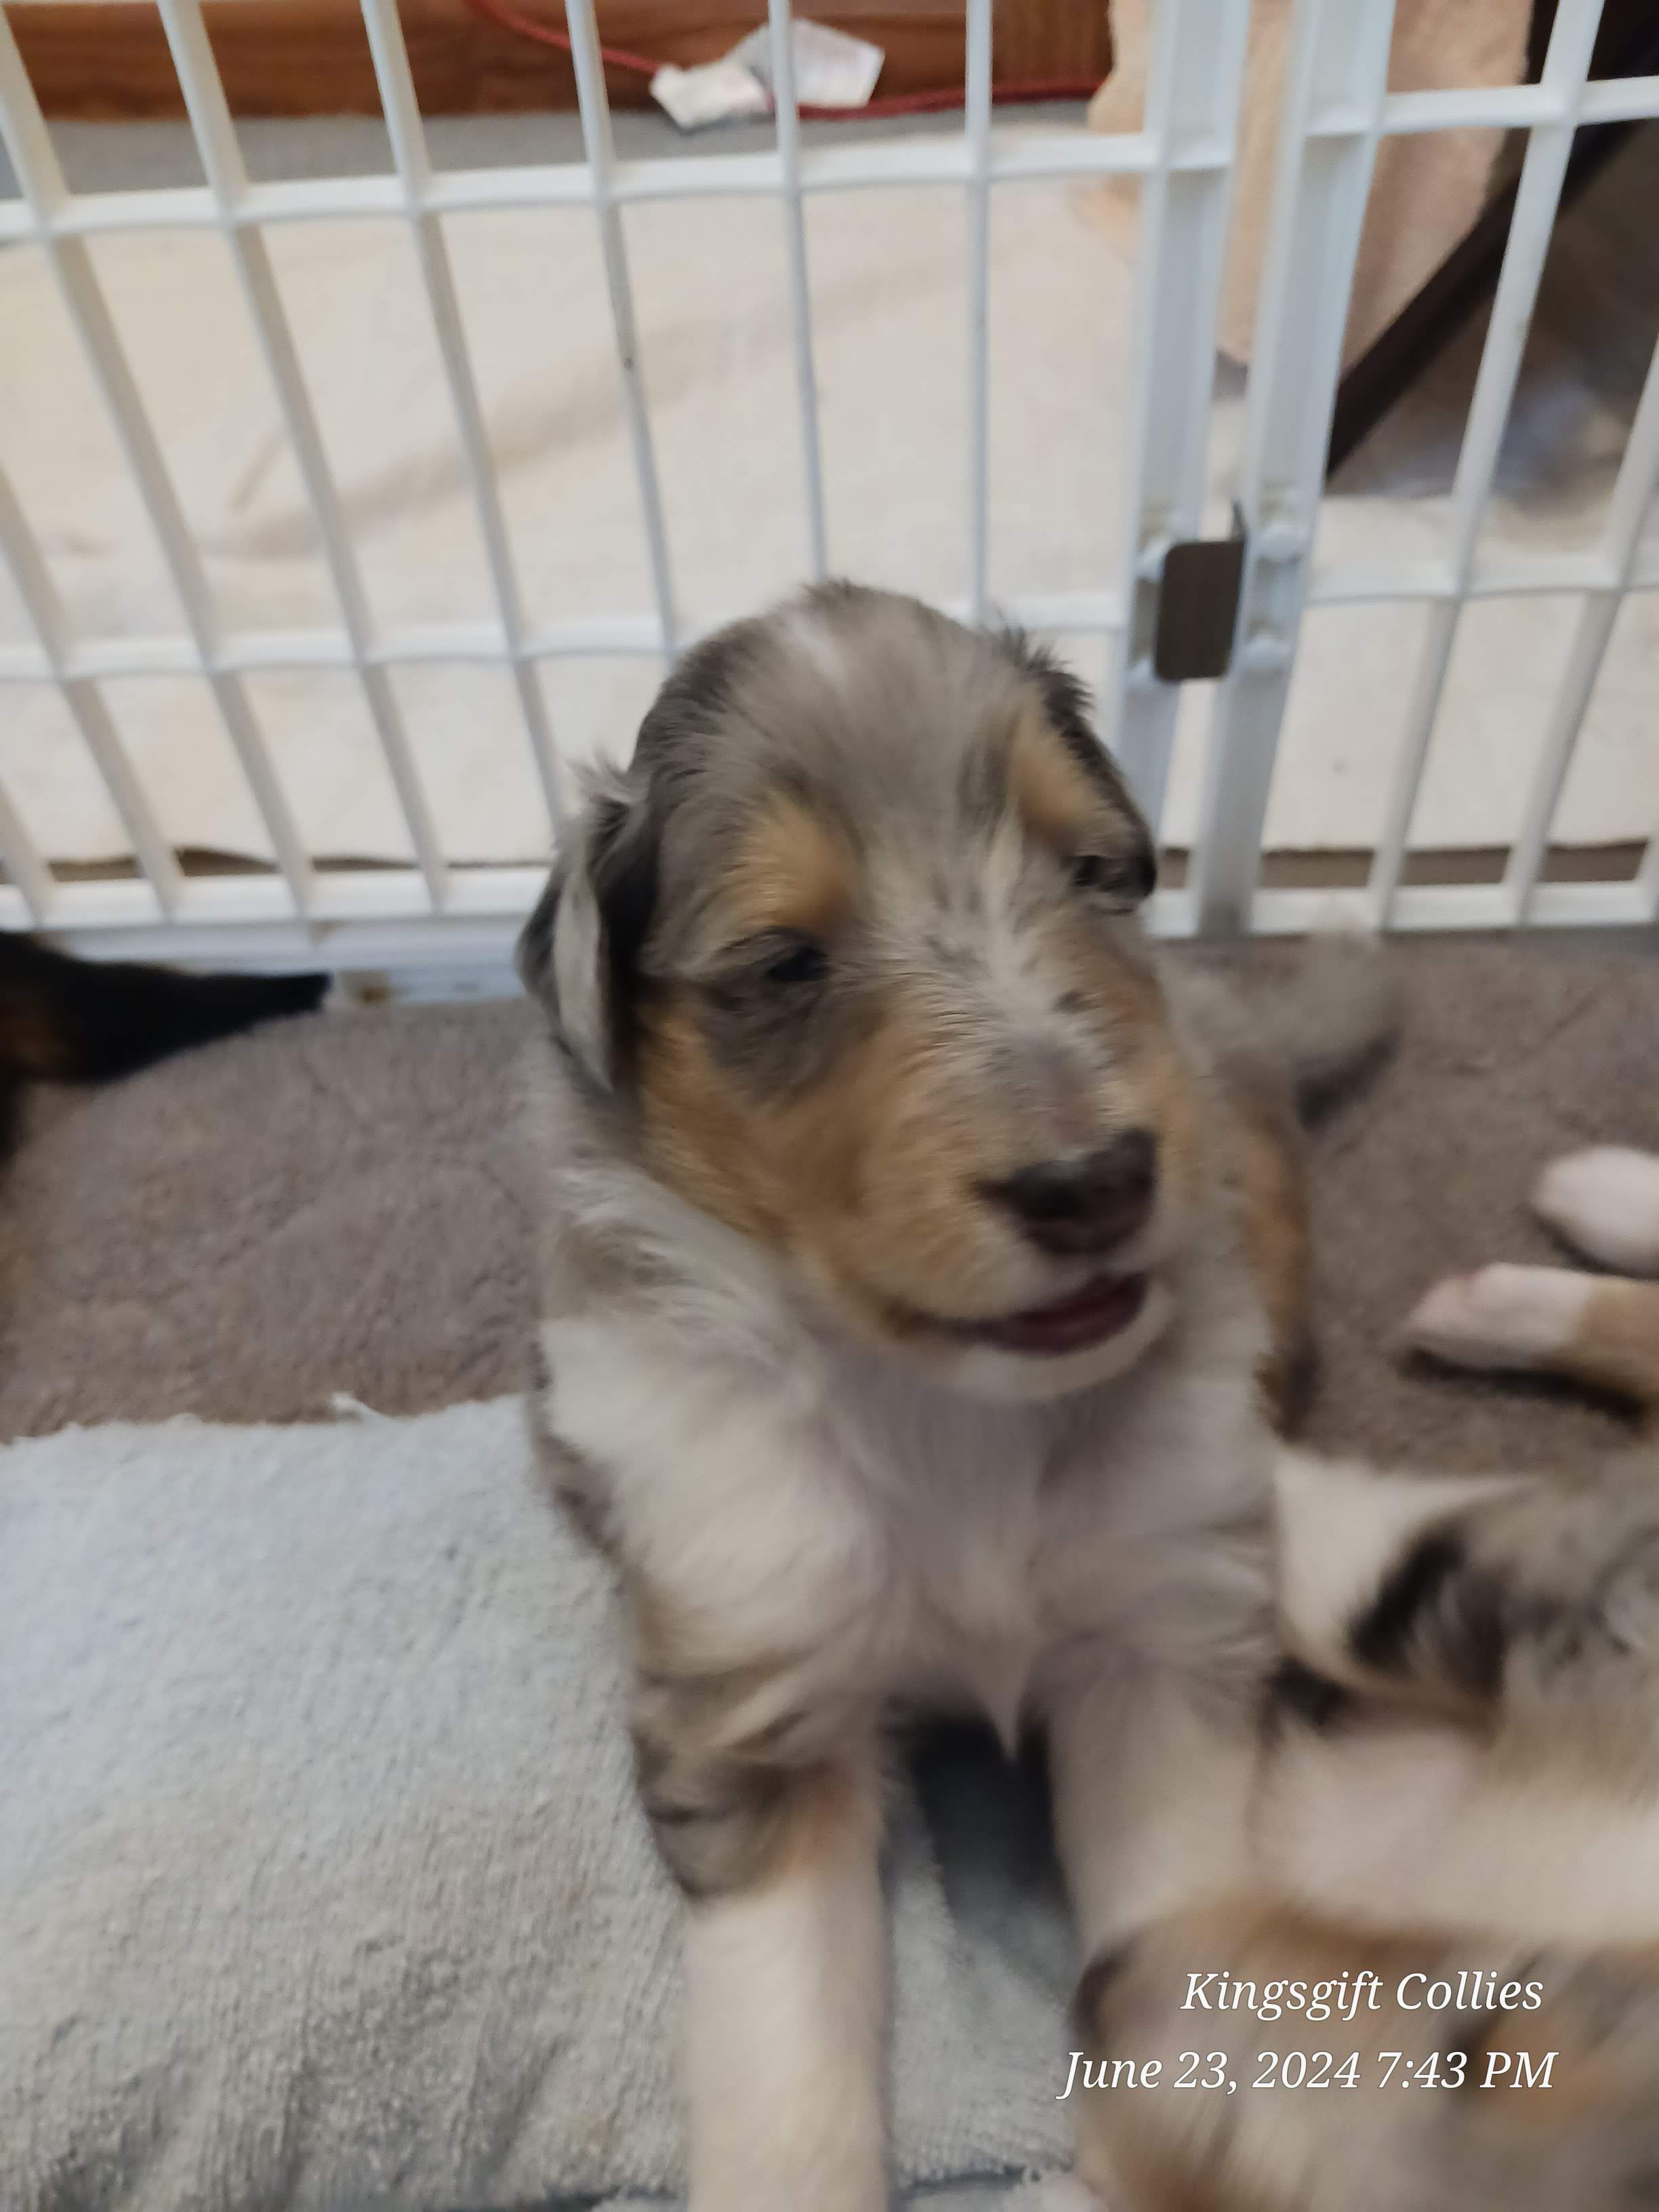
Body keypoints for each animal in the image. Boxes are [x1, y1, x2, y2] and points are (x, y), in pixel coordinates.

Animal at [515, 582, 1394, 2209]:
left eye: (1093, 870)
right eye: (785, 962)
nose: (1094, 1180)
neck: (946, 1403)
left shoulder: (1158, 1652)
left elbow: (1183, 1976)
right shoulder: (758, 1681)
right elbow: (786, 2075)